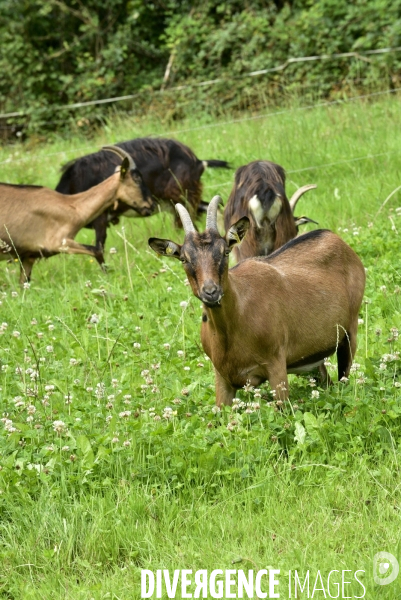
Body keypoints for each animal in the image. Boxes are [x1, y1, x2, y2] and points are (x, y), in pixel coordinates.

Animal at [0, 146, 155, 284]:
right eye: (137, 178)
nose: (150, 206)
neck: (72, 206)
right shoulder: (58, 242)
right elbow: (96, 250)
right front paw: (108, 276)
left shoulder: (28, 257)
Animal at [55, 138, 230, 260]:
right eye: (137, 179)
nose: (150, 205)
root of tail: (198, 161)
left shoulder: (101, 218)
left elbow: (99, 245)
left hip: (181, 195)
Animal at [149, 197, 366, 408]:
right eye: (184, 259)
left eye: (225, 251)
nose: (211, 292)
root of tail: (333, 237)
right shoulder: (222, 377)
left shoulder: (276, 365)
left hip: (349, 334)